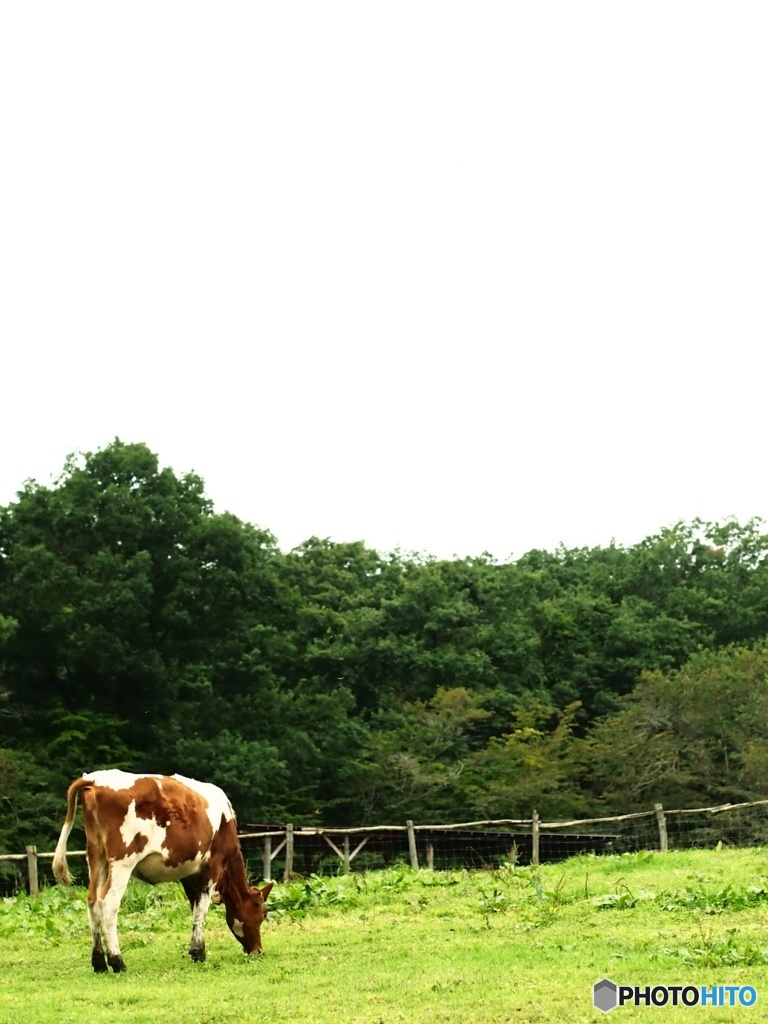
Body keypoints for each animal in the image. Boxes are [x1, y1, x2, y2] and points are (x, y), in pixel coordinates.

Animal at [51, 770, 274, 970]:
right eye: (263, 913)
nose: (258, 950)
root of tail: (94, 779)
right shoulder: (212, 865)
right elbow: (202, 908)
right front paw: (199, 952)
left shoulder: (189, 874)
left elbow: (195, 909)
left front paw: (196, 950)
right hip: (123, 860)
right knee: (108, 903)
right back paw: (117, 961)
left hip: (97, 857)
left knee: (92, 901)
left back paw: (98, 962)